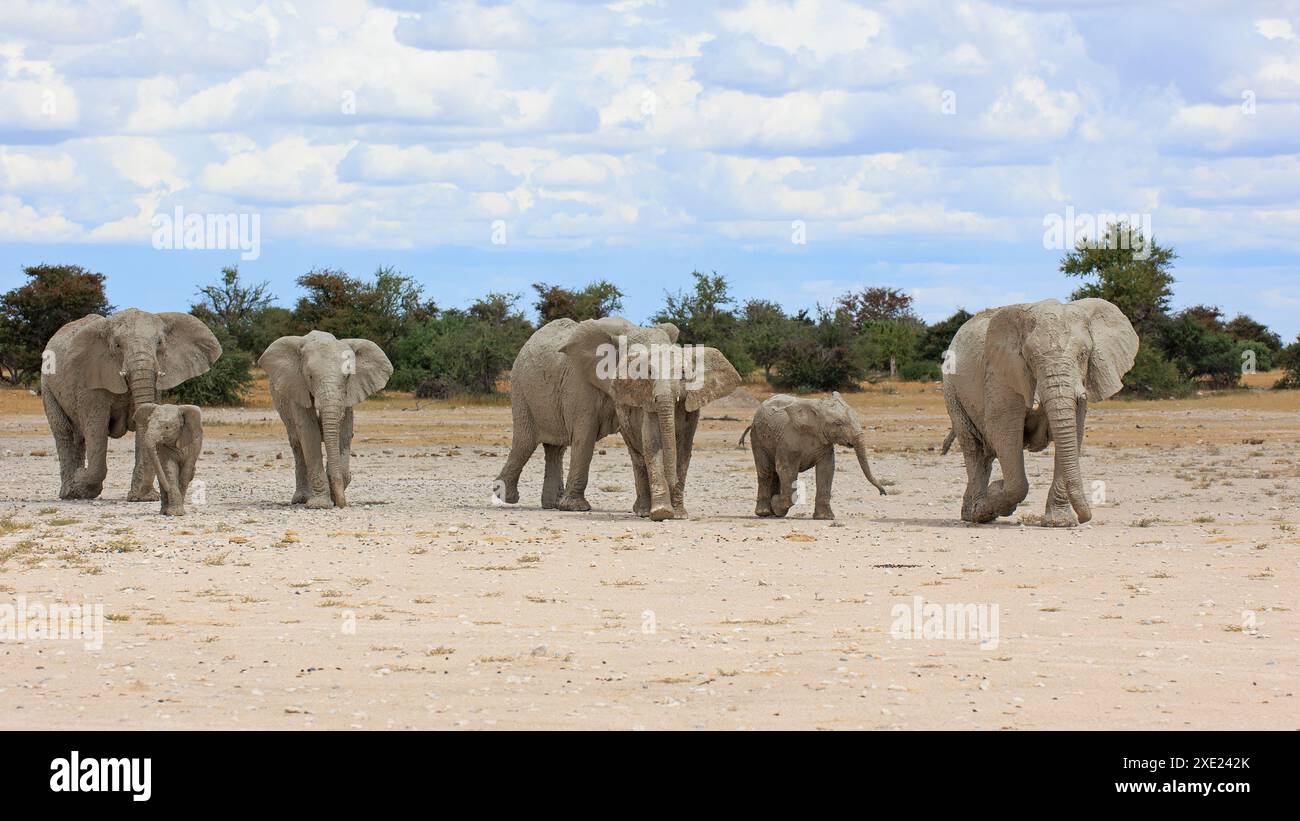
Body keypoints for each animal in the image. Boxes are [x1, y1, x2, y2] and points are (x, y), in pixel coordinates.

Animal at [41, 307, 220, 501]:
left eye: (159, 343)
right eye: (117, 346)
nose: (144, 494)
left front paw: (143, 498)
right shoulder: (90, 381)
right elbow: (96, 428)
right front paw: (81, 483)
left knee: (78, 437)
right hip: (47, 385)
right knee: (65, 432)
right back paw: (69, 492)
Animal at [493, 315, 743, 519]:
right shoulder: (579, 382)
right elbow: (584, 437)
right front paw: (576, 508)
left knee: (554, 449)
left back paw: (551, 504)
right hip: (520, 389)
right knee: (525, 443)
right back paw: (504, 497)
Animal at [738, 392, 889, 519]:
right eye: (838, 423)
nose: (883, 492)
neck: (817, 410)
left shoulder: (825, 444)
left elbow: (826, 470)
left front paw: (825, 517)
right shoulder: (789, 440)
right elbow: (786, 470)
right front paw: (776, 505)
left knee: (773, 473)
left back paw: (772, 512)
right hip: (757, 438)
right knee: (766, 471)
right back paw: (764, 513)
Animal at [946, 298, 1138, 530]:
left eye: (1083, 355)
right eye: (1030, 358)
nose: (1086, 518)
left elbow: (1073, 433)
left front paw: (1061, 522)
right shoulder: (1002, 373)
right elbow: (1005, 430)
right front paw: (995, 495)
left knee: (984, 454)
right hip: (952, 391)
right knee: (974, 448)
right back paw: (975, 514)